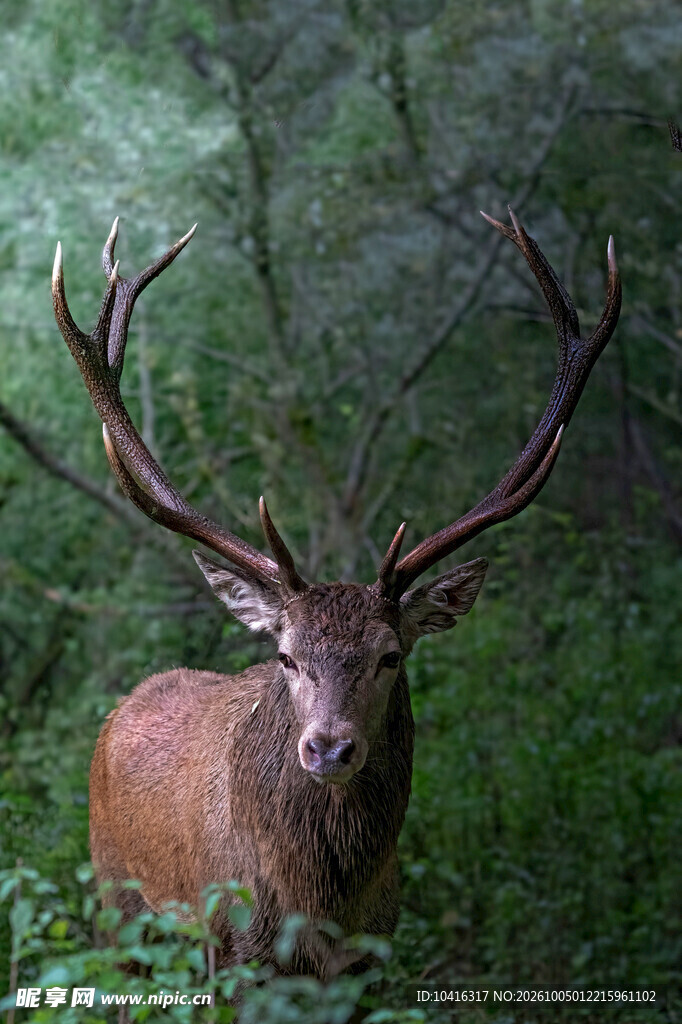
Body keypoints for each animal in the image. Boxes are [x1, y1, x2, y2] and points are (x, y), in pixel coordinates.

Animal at [52, 208, 621, 978]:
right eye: (285, 655)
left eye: (390, 655)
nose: (328, 749)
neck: (320, 908)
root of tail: (122, 709)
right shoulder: (235, 953)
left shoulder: (374, 955)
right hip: (120, 910)